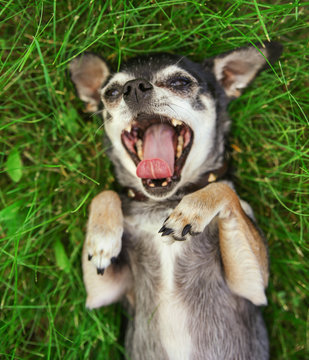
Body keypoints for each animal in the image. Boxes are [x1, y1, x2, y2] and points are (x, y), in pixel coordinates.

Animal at [69, 43, 282, 360]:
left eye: (181, 82)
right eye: (112, 92)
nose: (134, 87)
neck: (167, 201)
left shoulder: (254, 286)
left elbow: (222, 187)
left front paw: (190, 212)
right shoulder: (102, 292)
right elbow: (106, 193)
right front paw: (103, 239)